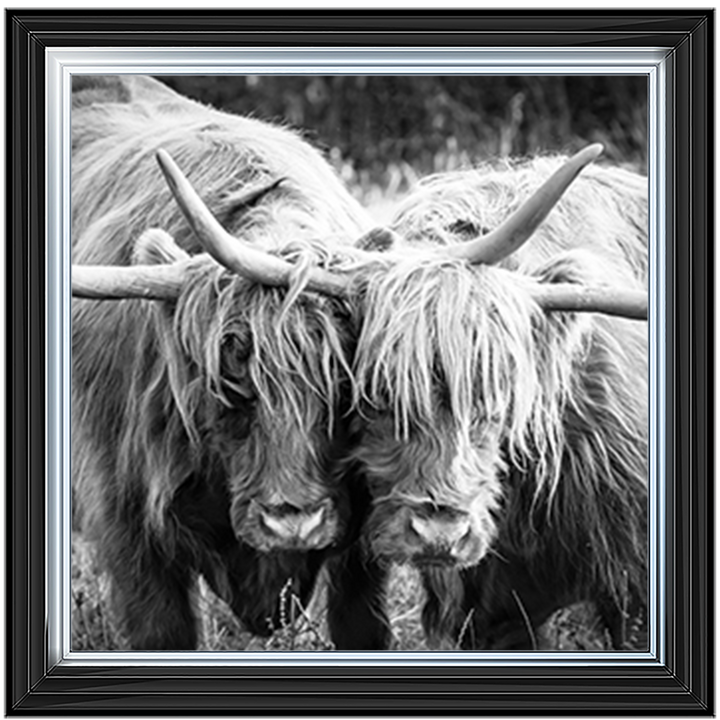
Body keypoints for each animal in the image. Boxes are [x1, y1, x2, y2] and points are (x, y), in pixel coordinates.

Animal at [70, 75, 390, 651]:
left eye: (344, 385)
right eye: (229, 381)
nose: (293, 523)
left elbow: (362, 623)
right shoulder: (125, 524)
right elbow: (161, 631)